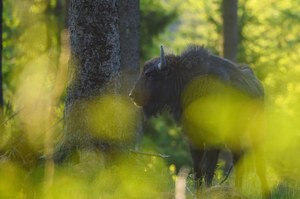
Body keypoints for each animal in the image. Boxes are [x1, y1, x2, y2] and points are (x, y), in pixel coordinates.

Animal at [130, 45, 270, 197]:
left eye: (149, 74)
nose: (132, 95)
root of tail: (258, 86)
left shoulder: (213, 140)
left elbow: (208, 168)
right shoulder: (193, 138)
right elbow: (198, 169)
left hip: (254, 132)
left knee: (259, 162)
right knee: (238, 158)